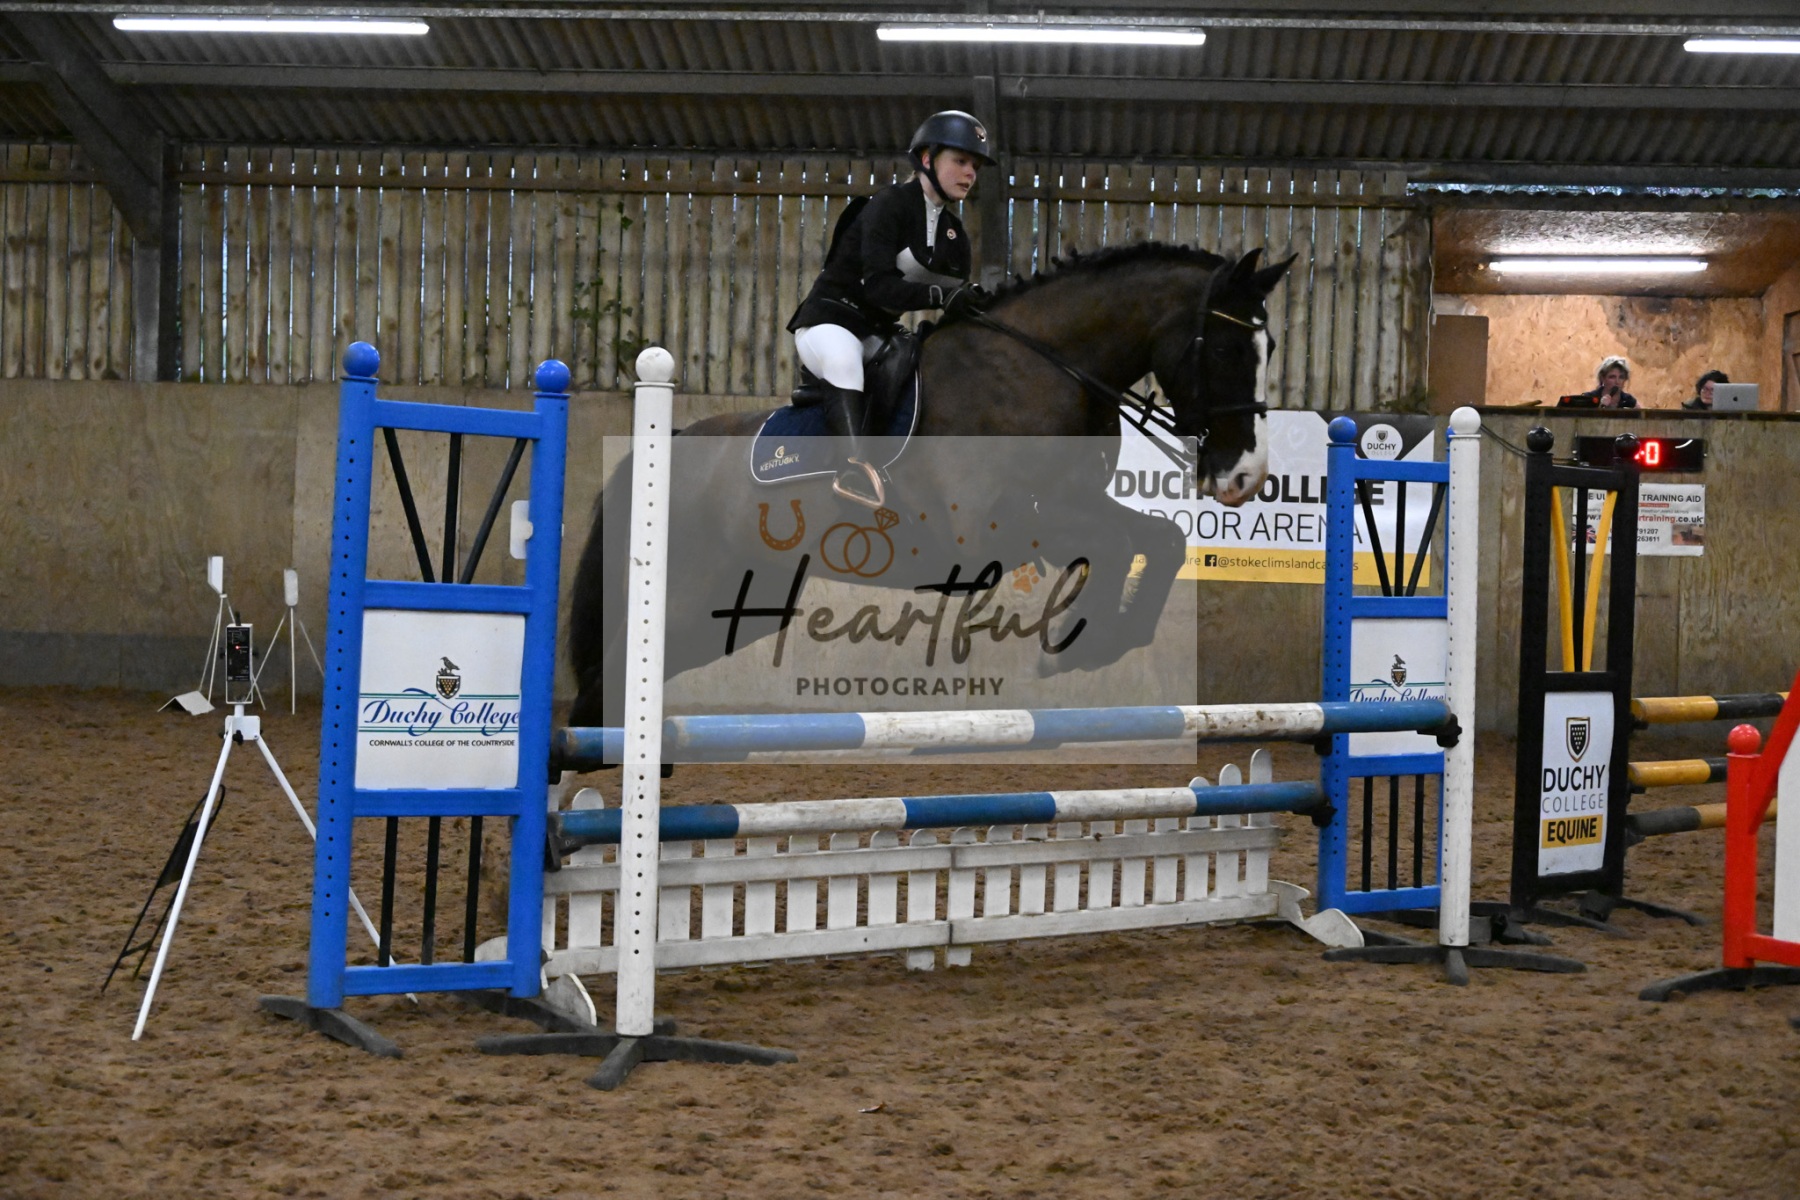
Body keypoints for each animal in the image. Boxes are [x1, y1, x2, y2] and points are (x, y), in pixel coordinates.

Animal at [567, 242, 1294, 731]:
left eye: (1269, 353)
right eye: (1226, 351)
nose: (1244, 477)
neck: (1044, 367)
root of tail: (670, 445)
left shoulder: (1073, 504)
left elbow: (1159, 538)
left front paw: (1100, 642)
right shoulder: (997, 527)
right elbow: (1119, 543)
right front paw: (1075, 647)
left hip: (741, 604)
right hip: (687, 594)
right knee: (605, 683)